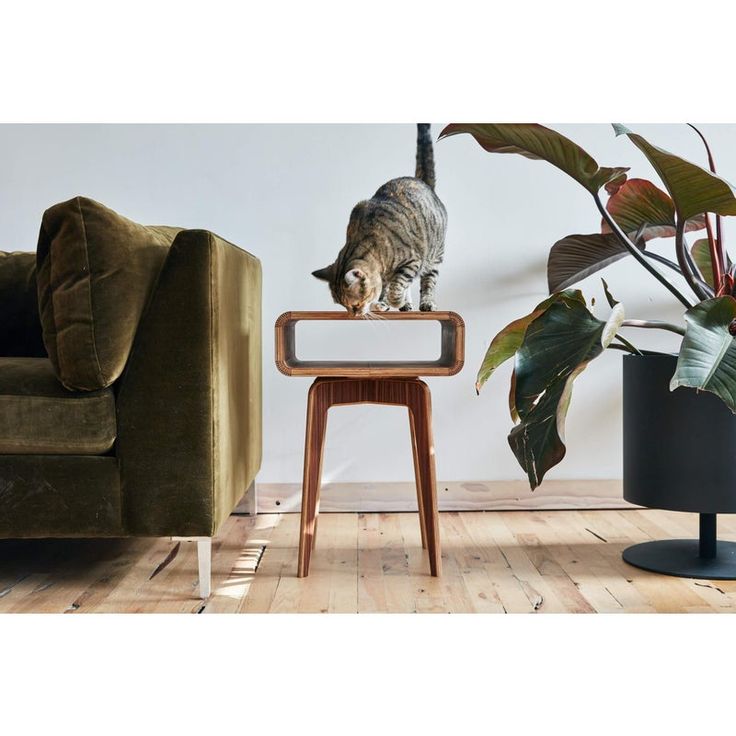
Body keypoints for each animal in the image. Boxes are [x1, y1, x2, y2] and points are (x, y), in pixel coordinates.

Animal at [312, 123, 446, 314]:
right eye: (343, 306)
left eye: (355, 304)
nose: (354, 315)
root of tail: (421, 181)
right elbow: (390, 287)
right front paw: (387, 303)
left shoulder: (412, 261)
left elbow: (397, 287)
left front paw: (393, 301)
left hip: (434, 256)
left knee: (428, 280)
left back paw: (426, 303)